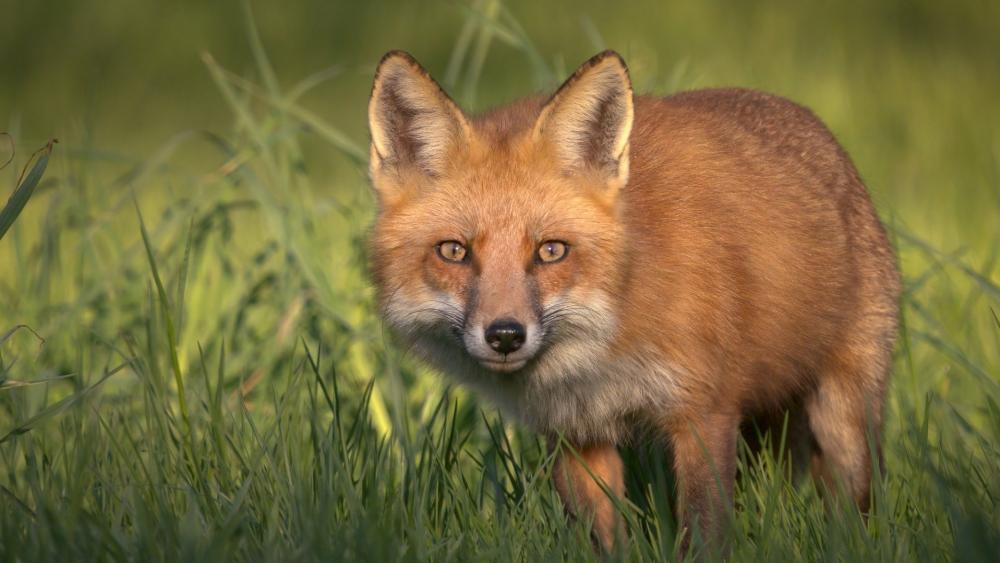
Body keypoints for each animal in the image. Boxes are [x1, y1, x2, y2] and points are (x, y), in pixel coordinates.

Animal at [366, 49, 900, 553]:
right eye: (454, 251)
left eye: (551, 251)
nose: (504, 335)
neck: (606, 341)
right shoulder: (575, 433)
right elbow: (600, 537)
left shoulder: (704, 412)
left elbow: (704, 533)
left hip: (844, 419)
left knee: (855, 504)